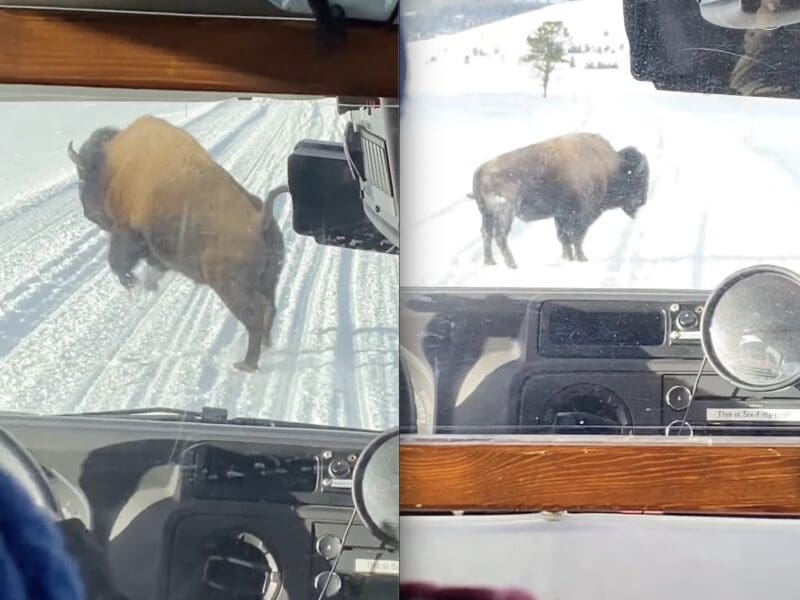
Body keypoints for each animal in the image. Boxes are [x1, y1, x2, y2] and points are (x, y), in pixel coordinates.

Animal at [68, 115, 287, 373]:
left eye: (83, 177)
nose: (87, 212)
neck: (112, 165)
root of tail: (260, 217)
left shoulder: (126, 232)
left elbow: (118, 262)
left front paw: (133, 283)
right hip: (269, 281)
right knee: (270, 310)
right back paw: (265, 349)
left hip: (230, 288)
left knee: (255, 319)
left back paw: (246, 364)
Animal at [468, 132, 649, 268]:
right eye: (639, 179)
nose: (643, 201)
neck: (608, 167)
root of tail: (481, 169)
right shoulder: (583, 215)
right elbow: (577, 236)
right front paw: (582, 259)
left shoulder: (562, 215)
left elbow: (564, 237)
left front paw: (568, 259)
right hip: (505, 213)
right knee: (500, 236)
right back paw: (513, 265)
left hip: (487, 214)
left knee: (487, 233)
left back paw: (490, 262)